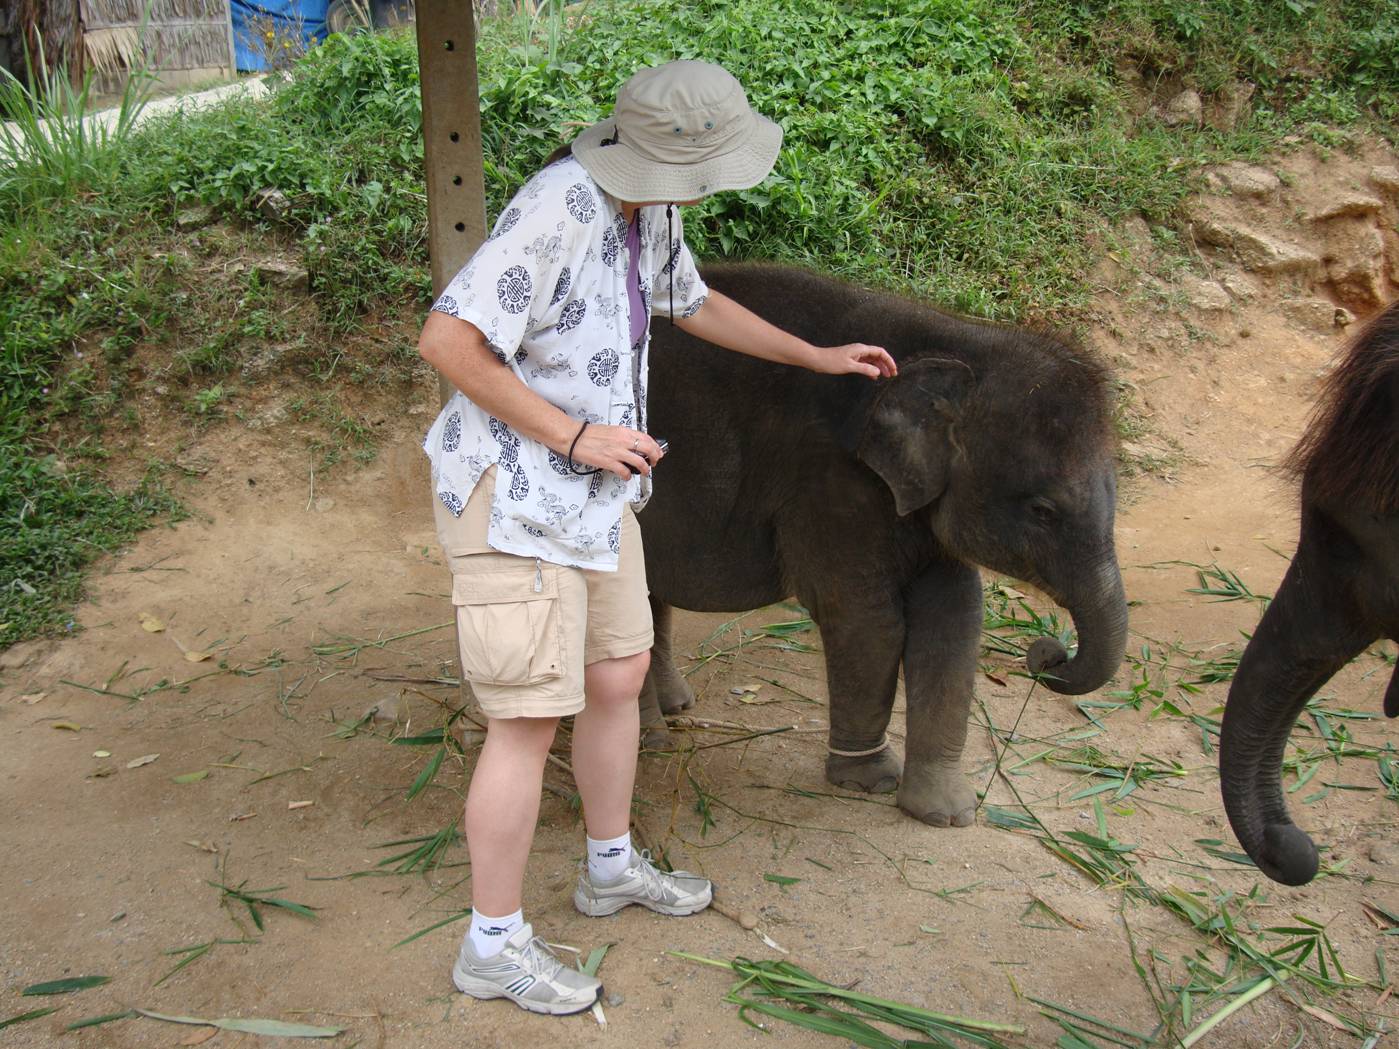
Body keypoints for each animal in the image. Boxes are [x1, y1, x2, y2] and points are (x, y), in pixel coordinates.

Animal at [635, 262, 1124, 828]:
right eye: (1043, 511)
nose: (1049, 655)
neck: (961, 342)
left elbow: (955, 619)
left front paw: (945, 814)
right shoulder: (827, 483)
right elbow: (867, 622)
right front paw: (869, 781)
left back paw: (674, 708)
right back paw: (652, 740)